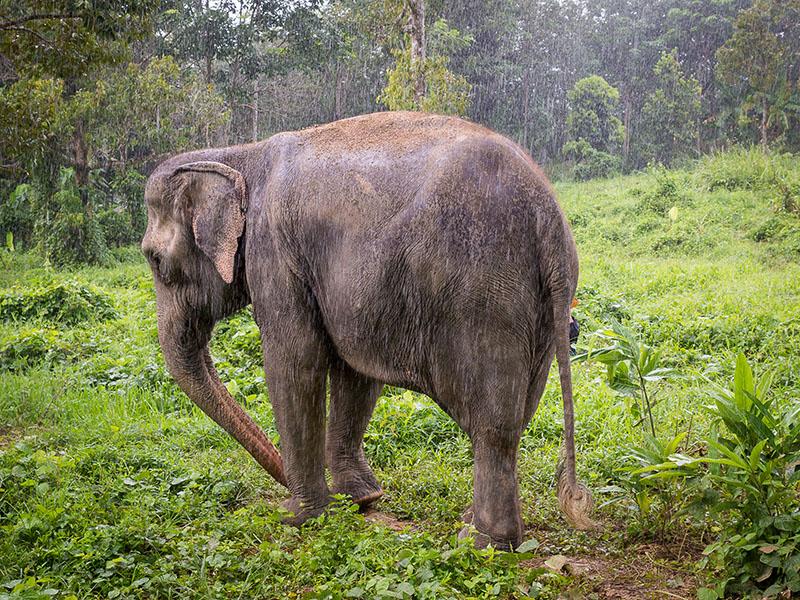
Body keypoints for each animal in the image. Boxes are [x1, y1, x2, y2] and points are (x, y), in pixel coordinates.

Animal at [141, 110, 592, 552]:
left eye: (156, 261)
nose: (281, 480)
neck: (239, 154)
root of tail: (547, 215)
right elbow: (353, 369)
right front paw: (359, 500)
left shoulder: (274, 252)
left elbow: (295, 360)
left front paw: (297, 517)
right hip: (540, 309)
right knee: (515, 419)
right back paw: (476, 526)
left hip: (484, 294)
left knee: (493, 426)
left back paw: (481, 543)